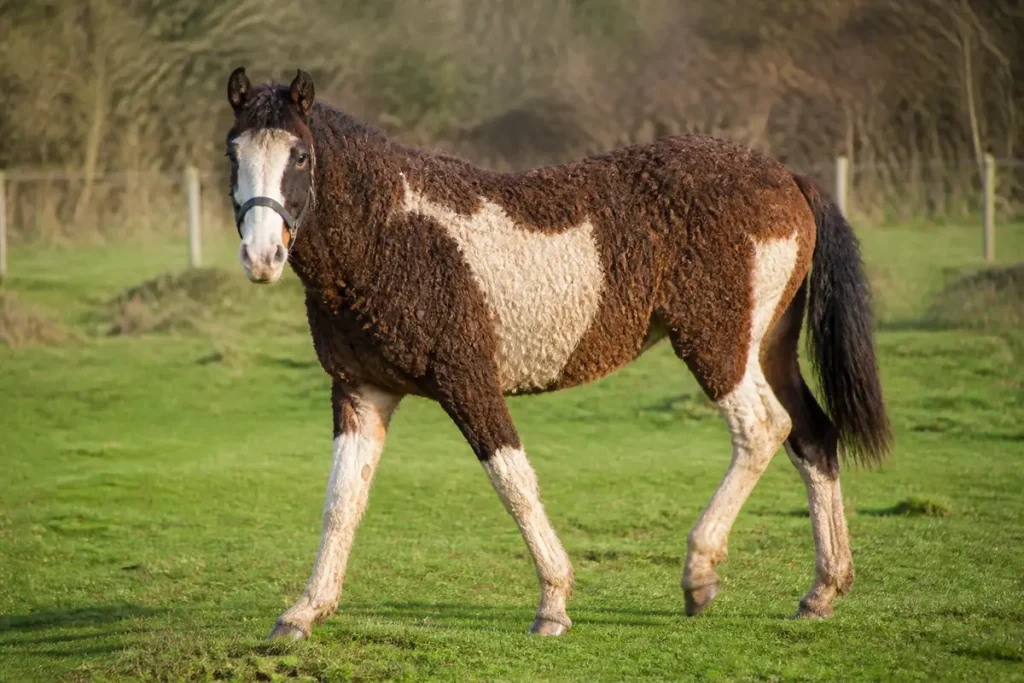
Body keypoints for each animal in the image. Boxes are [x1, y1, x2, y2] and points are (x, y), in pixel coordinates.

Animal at [223, 67, 892, 640]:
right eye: (233, 152)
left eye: (300, 155)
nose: (262, 257)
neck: (391, 230)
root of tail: (786, 177)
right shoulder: (362, 392)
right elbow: (341, 502)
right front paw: (303, 613)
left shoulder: (467, 381)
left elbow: (514, 483)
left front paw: (553, 603)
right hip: (769, 350)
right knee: (812, 436)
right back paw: (822, 591)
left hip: (717, 347)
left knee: (762, 429)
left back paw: (700, 574)